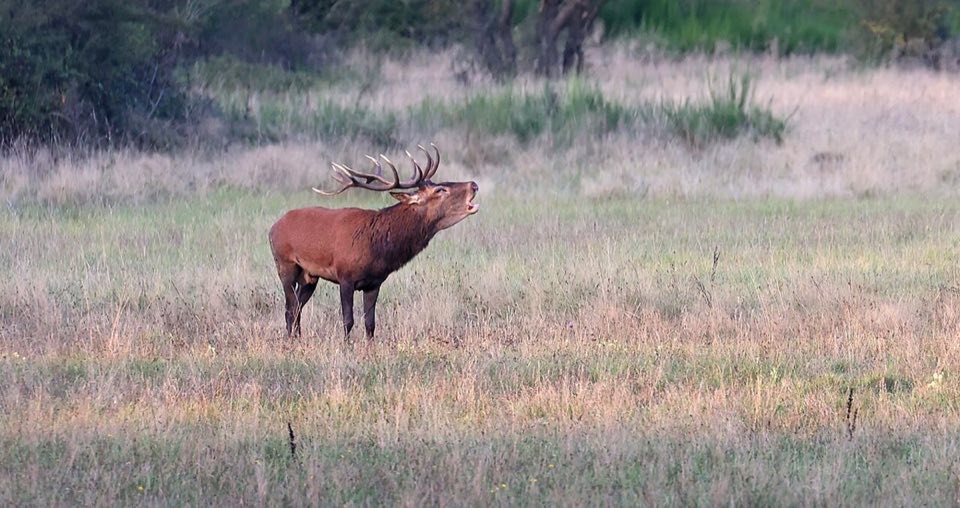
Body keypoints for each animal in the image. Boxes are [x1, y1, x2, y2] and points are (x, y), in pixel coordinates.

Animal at [268, 144, 479, 339]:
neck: (378, 249)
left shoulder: (374, 283)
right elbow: (348, 320)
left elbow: (370, 324)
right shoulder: (345, 276)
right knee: (289, 309)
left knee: (296, 308)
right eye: (440, 189)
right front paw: (346, 348)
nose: (474, 185)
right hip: (285, 264)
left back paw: (297, 339)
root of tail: (273, 228)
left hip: (309, 275)